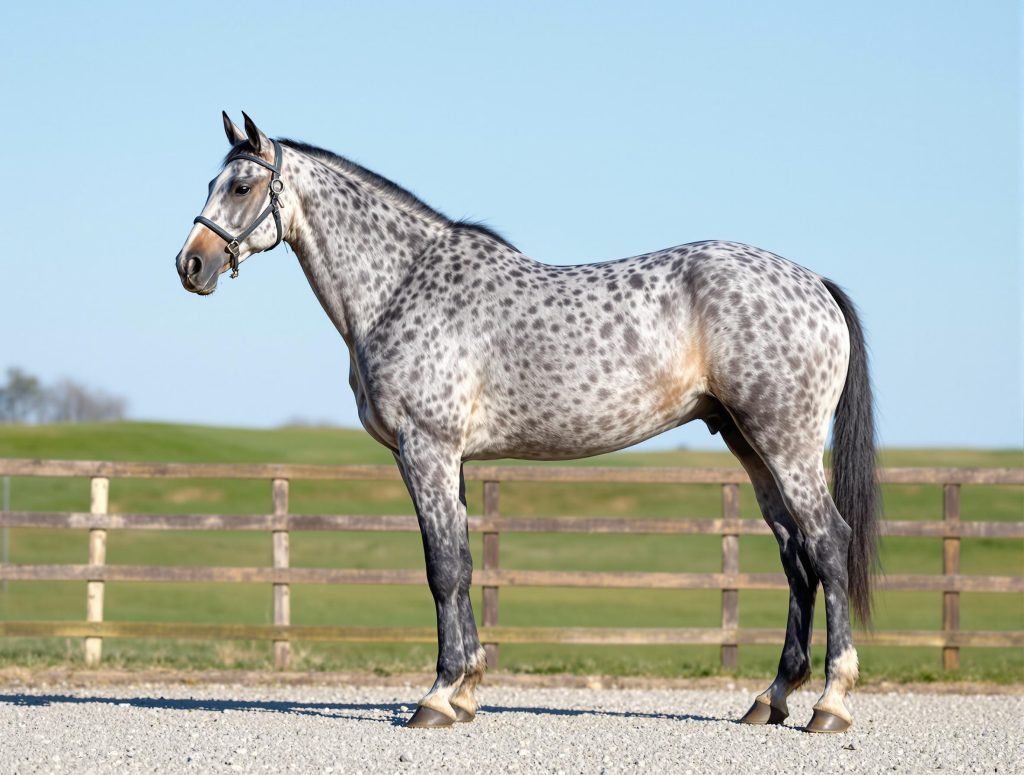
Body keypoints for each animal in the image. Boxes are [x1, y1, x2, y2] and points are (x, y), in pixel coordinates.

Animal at [175, 112, 878, 733]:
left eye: (242, 187)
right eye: (212, 183)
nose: (190, 265)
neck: (401, 285)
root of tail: (813, 283)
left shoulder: (425, 449)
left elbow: (442, 570)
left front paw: (436, 697)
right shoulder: (448, 459)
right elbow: (461, 565)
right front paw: (465, 692)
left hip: (784, 442)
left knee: (827, 544)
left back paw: (830, 704)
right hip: (749, 445)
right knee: (795, 558)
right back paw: (772, 697)